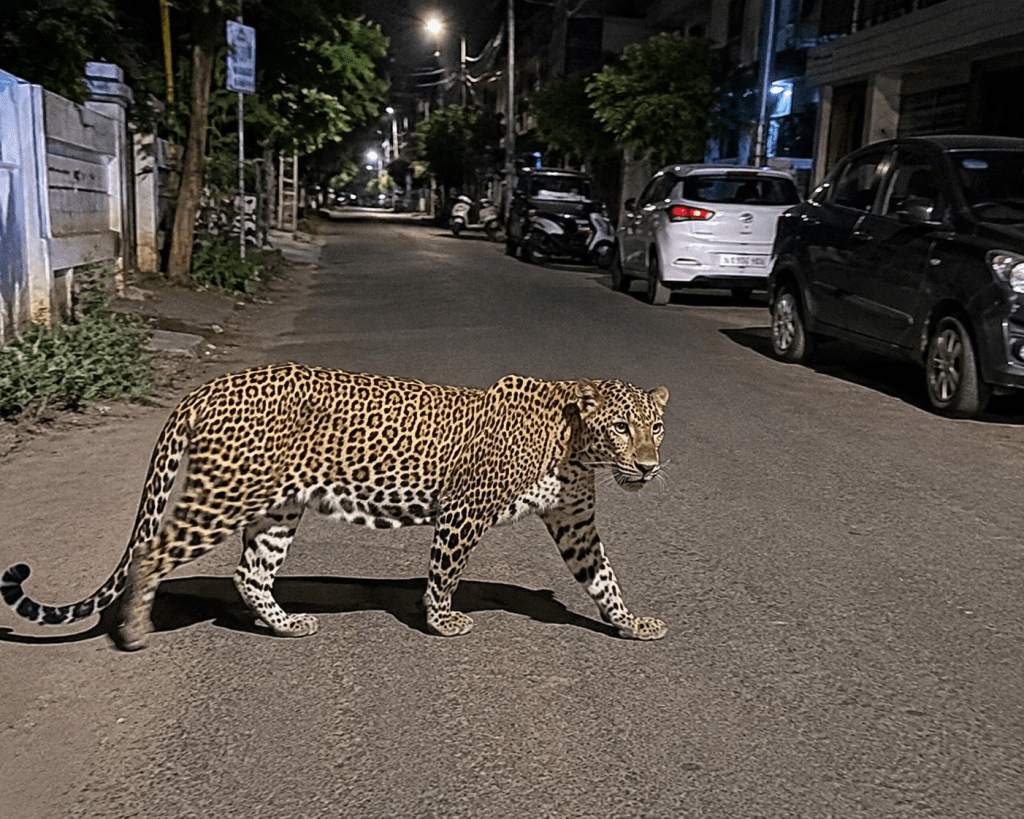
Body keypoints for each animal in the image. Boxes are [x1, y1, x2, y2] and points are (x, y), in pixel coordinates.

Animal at [2, 363, 670, 650]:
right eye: (620, 427)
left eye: (656, 427)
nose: (647, 466)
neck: (576, 450)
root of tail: (205, 387)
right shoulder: (464, 510)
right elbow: (445, 572)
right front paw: (442, 622)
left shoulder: (575, 522)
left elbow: (603, 577)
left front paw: (631, 623)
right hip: (221, 497)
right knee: (152, 554)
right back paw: (135, 631)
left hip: (275, 509)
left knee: (249, 573)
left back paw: (286, 625)